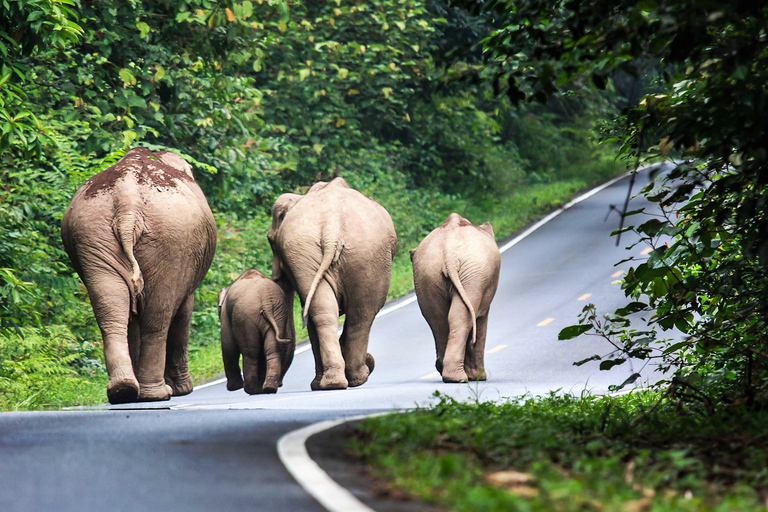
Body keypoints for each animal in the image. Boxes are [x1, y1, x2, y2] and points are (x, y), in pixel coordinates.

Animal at [59, 148, 216, 404]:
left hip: (91, 234)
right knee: (158, 317)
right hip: (171, 242)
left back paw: (124, 390)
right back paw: (156, 394)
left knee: (112, 308)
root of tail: (128, 201)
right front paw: (183, 389)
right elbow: (183, 311)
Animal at [268, 178, 396, 390]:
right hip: (344, 252)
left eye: (270, 240)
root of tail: (331, 228)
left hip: (358, 252)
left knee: (345, 312)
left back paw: (337, 381)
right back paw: (349, 379)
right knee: (356, 313)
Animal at [412, 212, 500, 384]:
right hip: (473, 276)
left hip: (427, 274)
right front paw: (480, 377)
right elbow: (480, 321)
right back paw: (460, 378)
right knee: (462, 317)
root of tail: (449, 255)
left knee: (438, 319)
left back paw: (447, 372)